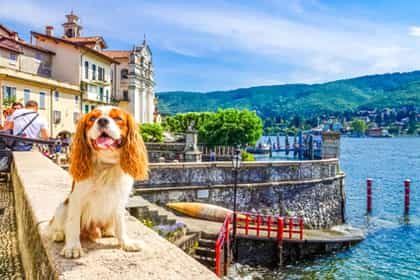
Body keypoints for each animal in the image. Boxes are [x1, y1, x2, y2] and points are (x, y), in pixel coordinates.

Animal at [48, 106, 148, 260]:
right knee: (57, 225)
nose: (102, 120)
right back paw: (58, 234)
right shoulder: (76, 200)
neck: (105, 165)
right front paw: (73, 247)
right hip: (62, 207)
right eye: (93, 118)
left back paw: (108, 231)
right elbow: (72, 224)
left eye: (118, 118)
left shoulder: (119, 201)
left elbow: (121, 225)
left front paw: (126, 243)